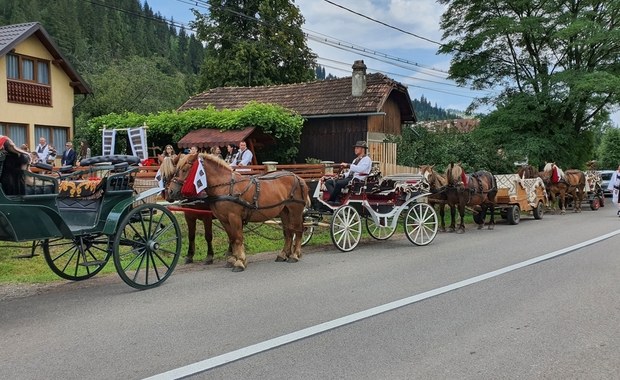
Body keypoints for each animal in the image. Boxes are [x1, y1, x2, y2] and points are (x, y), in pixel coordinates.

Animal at [163, 151, 310, 270]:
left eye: (185, 169)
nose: (171, 192)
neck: (226, 186)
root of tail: (298, 178)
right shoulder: (223, 219)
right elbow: (232, 238)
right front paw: (233, 260)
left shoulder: (234, 217)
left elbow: (238, 238)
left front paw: (240, 262)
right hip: (284, 212)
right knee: (288, 233)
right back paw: (283, 254)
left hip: (295, 210)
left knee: (298, 230)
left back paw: (295, 255)